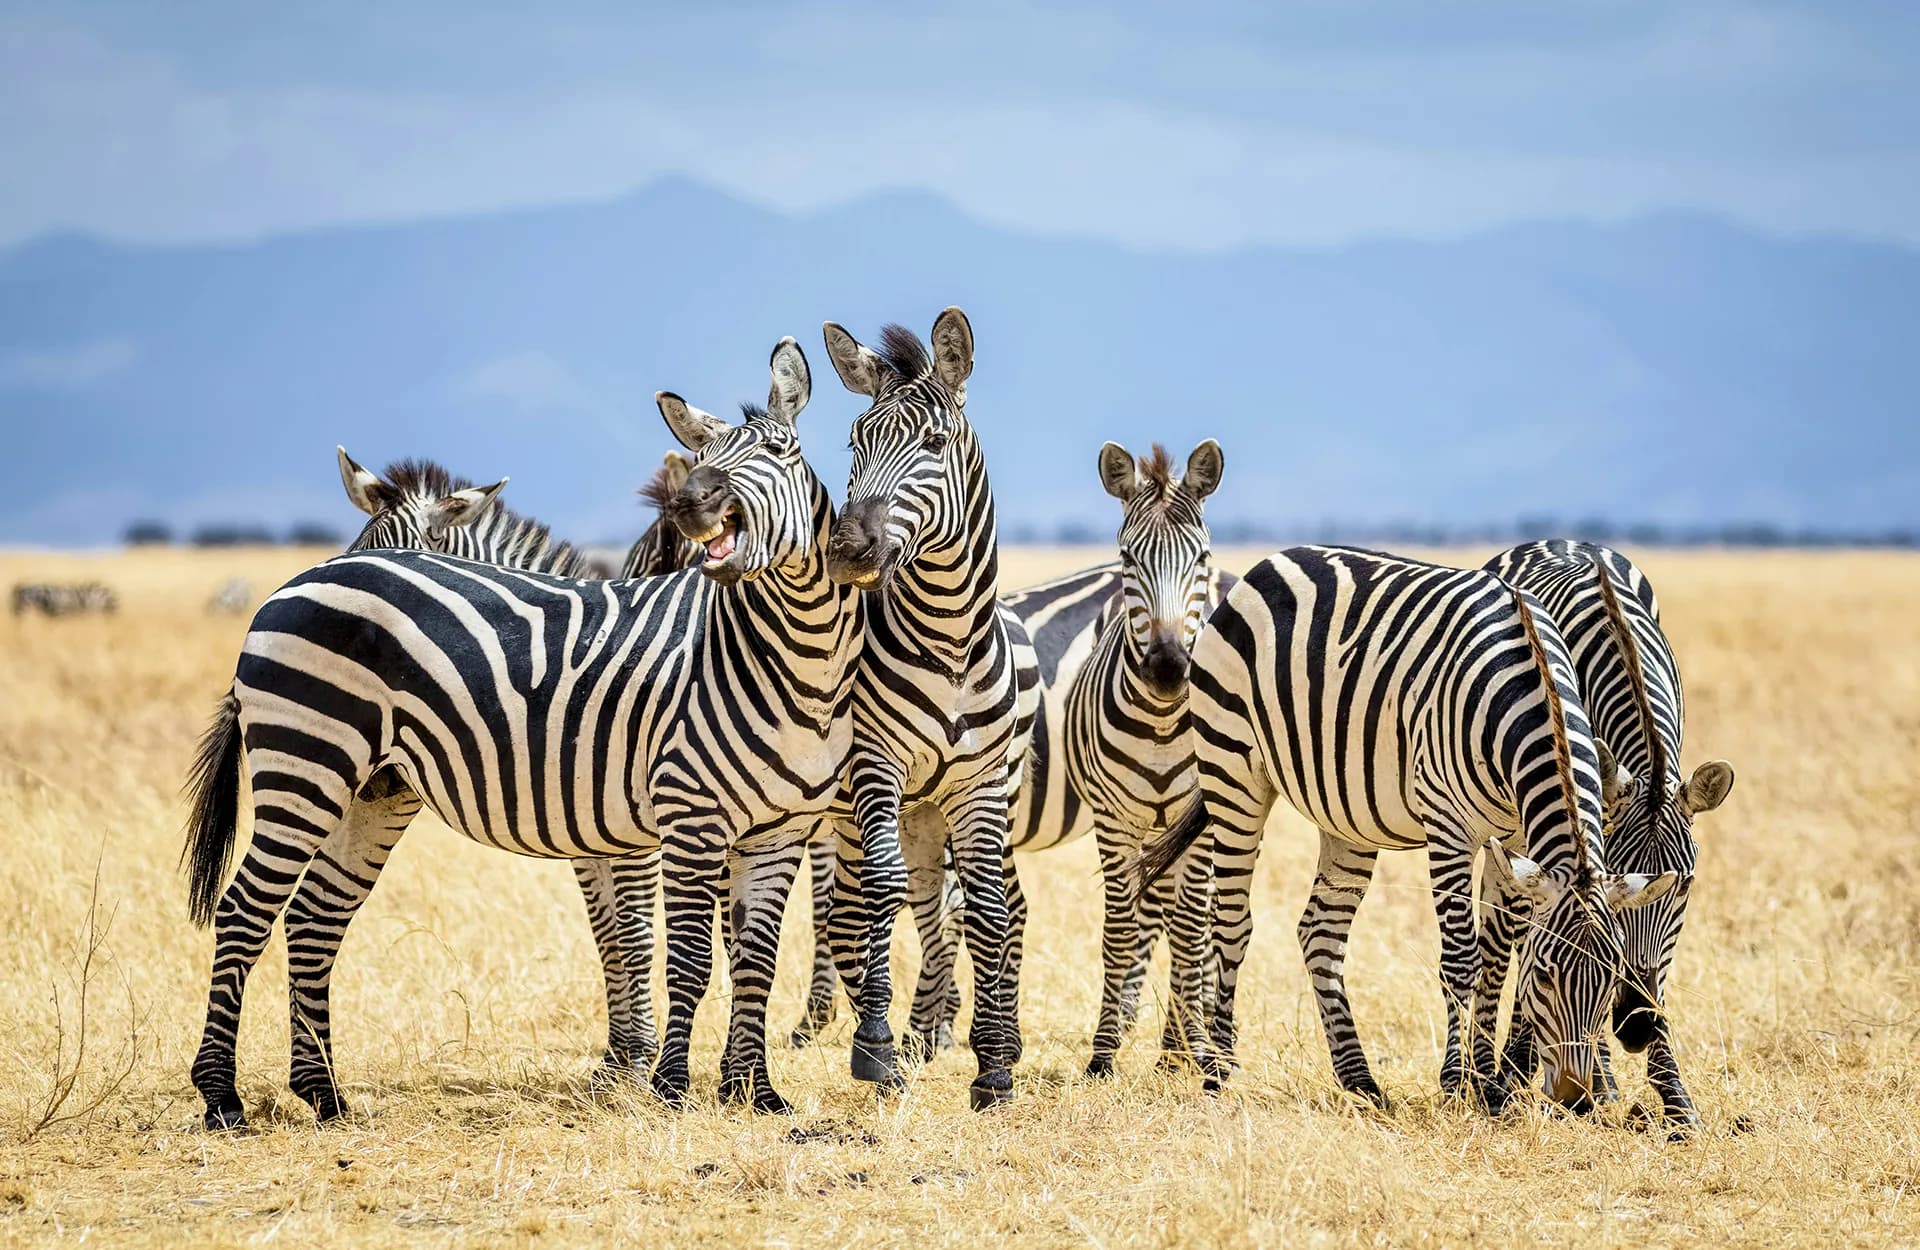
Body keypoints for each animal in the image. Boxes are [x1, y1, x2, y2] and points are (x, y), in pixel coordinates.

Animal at [182, 338, 861, 1128]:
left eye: (780, 450)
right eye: (702, 458)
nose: (694, 504)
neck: (792, 656)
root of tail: (291, 586)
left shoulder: (772, 828)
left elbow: (747, 954)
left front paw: (752, 1091)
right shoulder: (679, 817)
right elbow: (669, 948)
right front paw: (659, 1081)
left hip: (372, 790)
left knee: (314, 918)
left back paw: (323, 1093)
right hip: (306, 765)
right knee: (244, 912)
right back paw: (222, 1096)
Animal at [814, 309, 1027, 1110]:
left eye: (934, 444)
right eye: (855, 442)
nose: (847, 550)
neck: (951, 640)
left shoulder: (978, 785)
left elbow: (990, 906)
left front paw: (993, 1064)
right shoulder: (874, 767)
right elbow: (881, 891)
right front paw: (874, 1047)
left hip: (929, 811)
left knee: (941, 905)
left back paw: (938, 1033)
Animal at [1139, 546, 1679, 1112]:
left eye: (1612, 979)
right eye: (1545, 976)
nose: (1576, 1099)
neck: (1532, 693)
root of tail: (1270, 562)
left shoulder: (1513, 839)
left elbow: (1494, 958)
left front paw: (1490, 1086)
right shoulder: (1449, 828)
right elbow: (1463, 958)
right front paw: (1458, 1082)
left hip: (1345, 815)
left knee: (1321, 932)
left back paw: (1359, 1080)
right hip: (1234, 772)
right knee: (1231, 922)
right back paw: (1219, 1071)